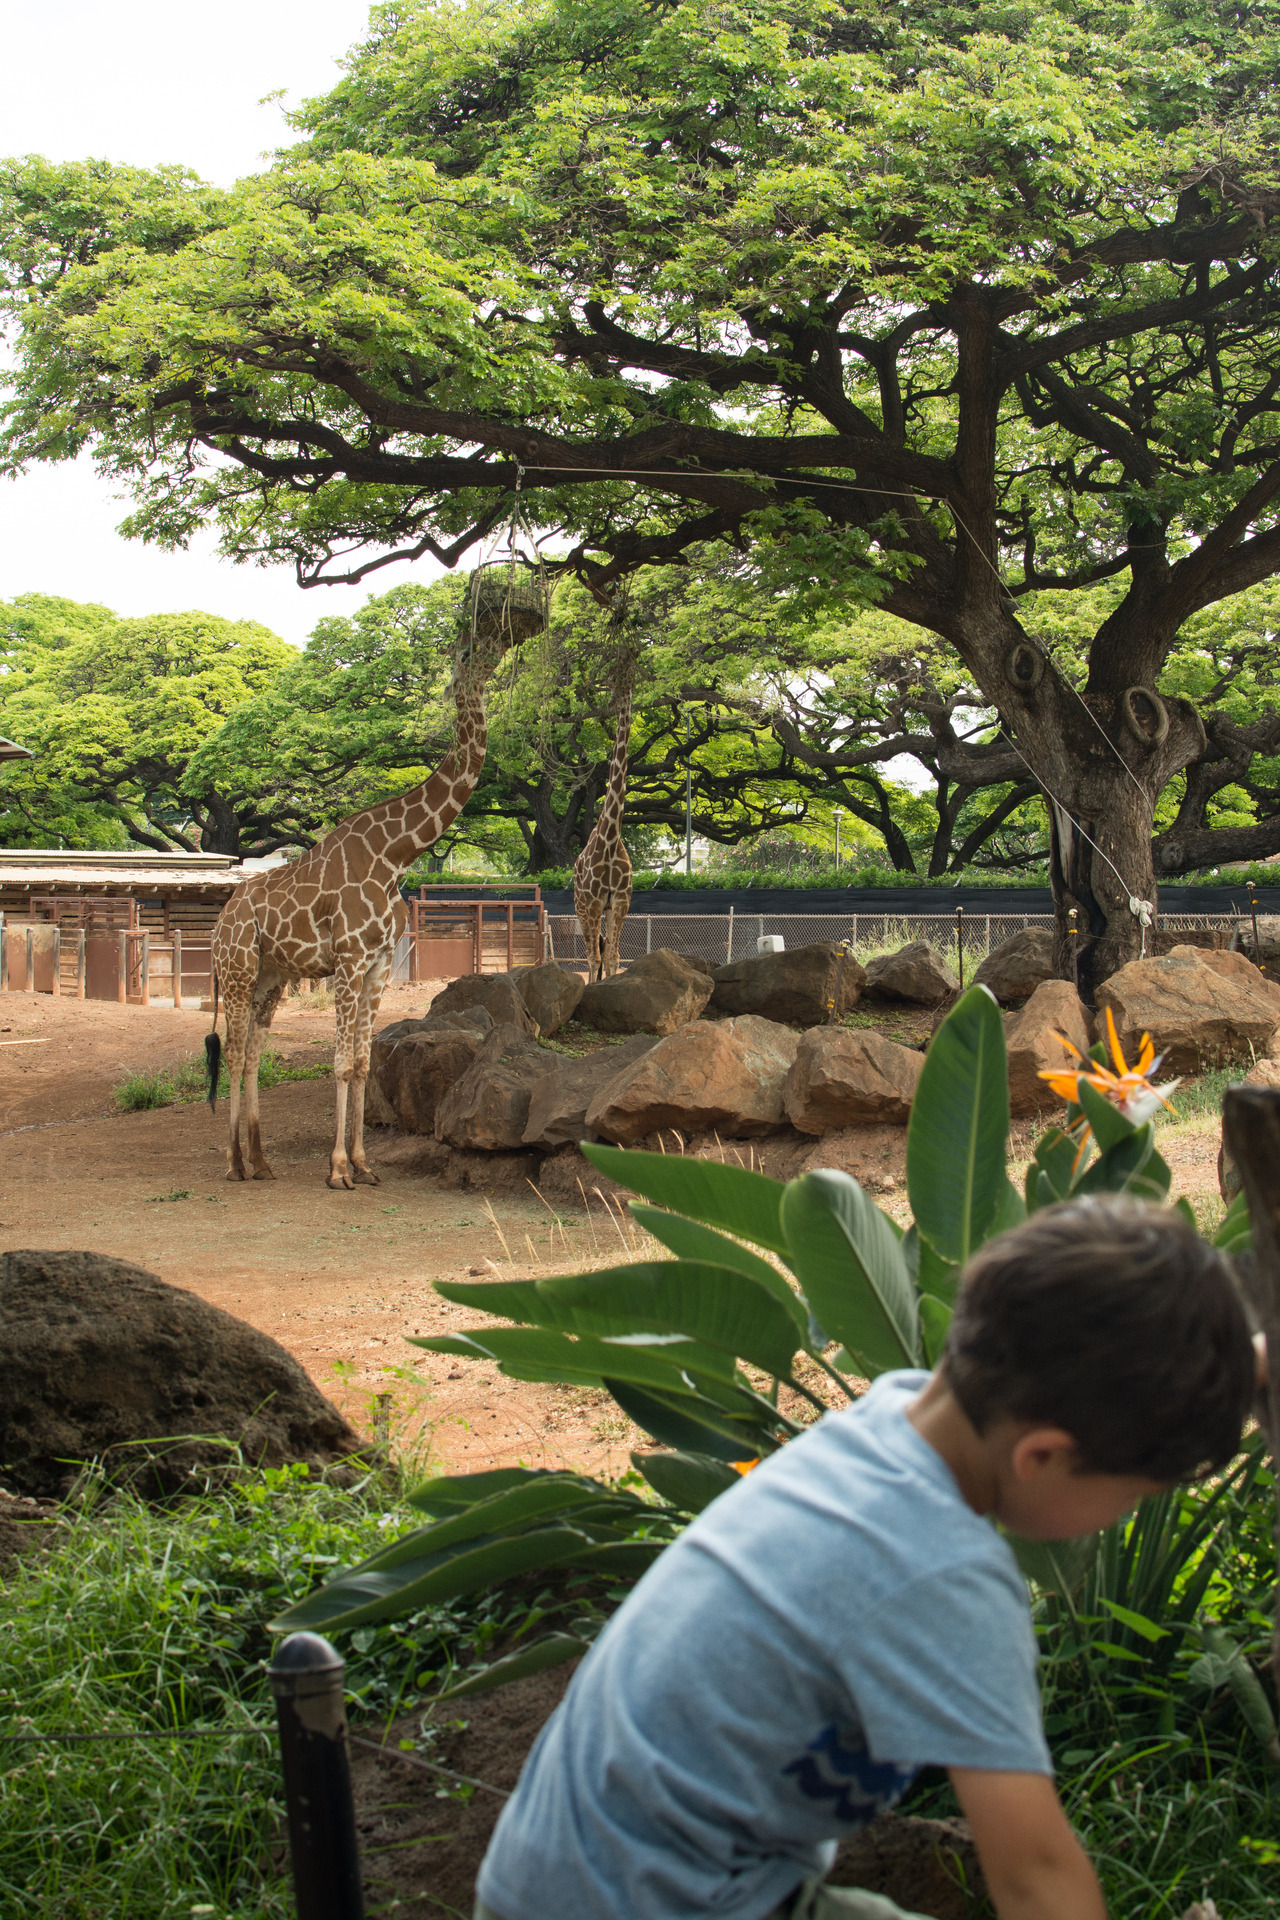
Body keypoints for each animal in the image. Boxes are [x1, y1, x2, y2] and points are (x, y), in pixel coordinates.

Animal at [207, 577, 541, 1189]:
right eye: (469, 647)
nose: (505, 639)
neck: (398, 855)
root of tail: (222, 918)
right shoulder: (348, 959)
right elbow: (341, 1063)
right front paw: (338, 1168)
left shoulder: (381, 963)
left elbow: (363, 1063)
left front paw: (363, 1164)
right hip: (237, 970)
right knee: (239, 1051)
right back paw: (235, 1163)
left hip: (270, 977)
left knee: (255, 1052)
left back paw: (261, 1161)